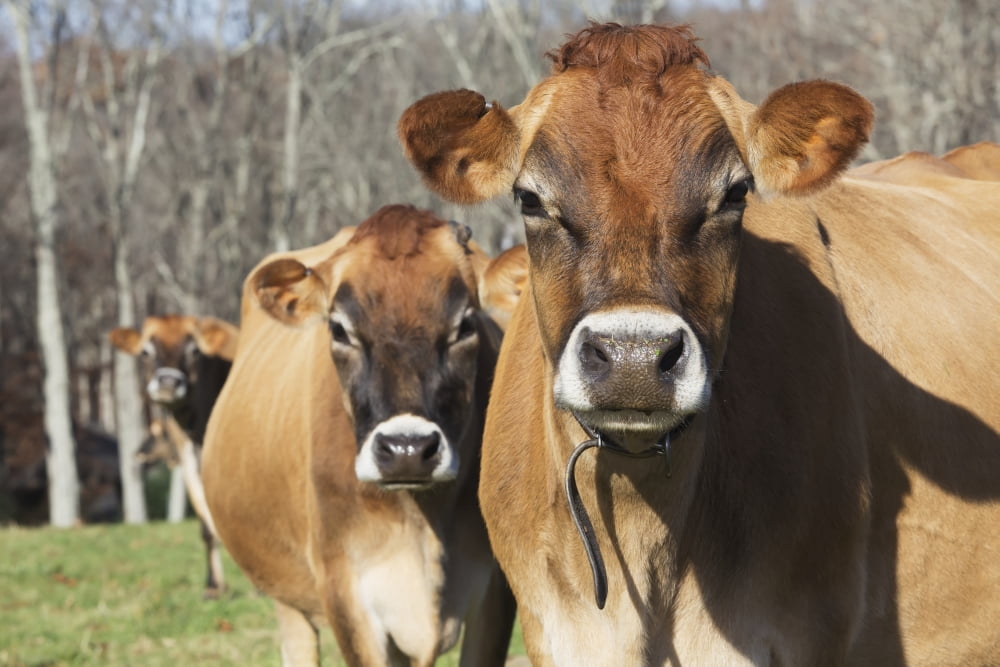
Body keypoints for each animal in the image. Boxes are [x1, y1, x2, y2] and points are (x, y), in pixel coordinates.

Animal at [109, 314, 238, 598]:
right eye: (146, 351)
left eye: (194, 351)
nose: (168, 384)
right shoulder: (187, 456)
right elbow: (206, 522)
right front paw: (214, 586)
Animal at [201, 205, 525, 666]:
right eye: (339, 329)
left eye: (465, 325)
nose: (407, 449)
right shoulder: (346, 592)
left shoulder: (495, 590)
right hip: (285, 594)